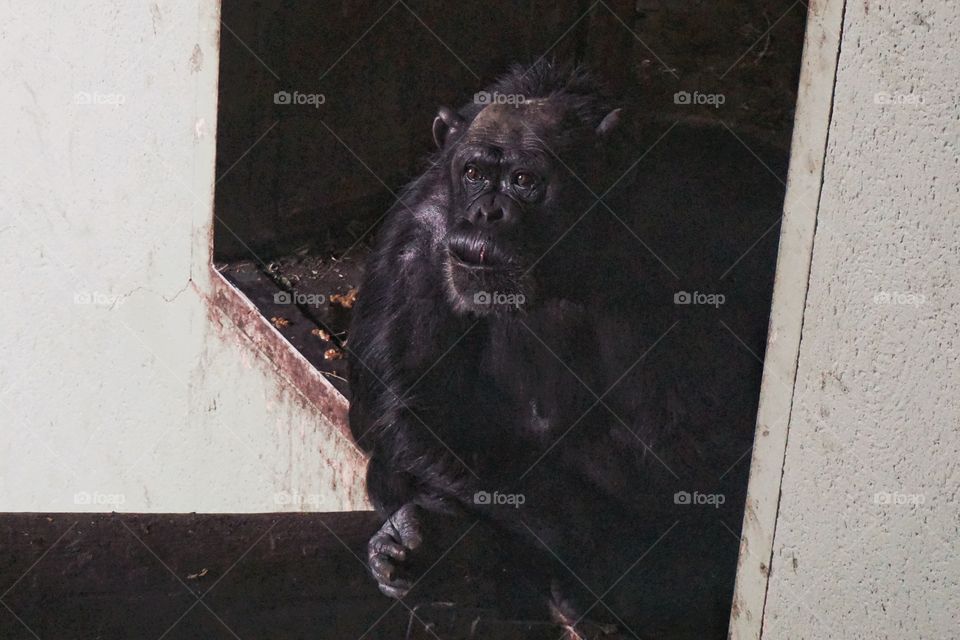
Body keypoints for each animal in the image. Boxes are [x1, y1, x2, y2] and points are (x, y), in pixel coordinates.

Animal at [347, 60, 784, 638]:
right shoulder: (416, 237)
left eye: (524, 181)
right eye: (473, 173)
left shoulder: (715, 195)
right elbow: (407, 411)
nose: (487, 212)